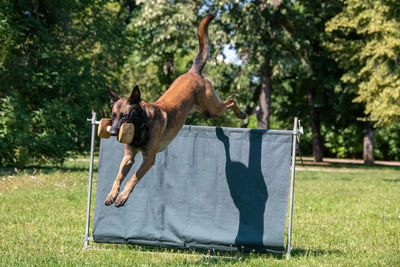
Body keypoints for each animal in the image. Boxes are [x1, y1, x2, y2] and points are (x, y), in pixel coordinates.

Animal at [104, 13, 245, 208]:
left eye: (125, 116)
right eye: (114, 116)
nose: (112, 132)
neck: (141, 125)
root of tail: (193, 72)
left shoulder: (149, 159)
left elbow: (133, 178)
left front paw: (122, 197)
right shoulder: (128, 157)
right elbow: (118, 177)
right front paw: (112, 194)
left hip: (212, 109)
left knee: (230, 100)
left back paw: (241, 114)